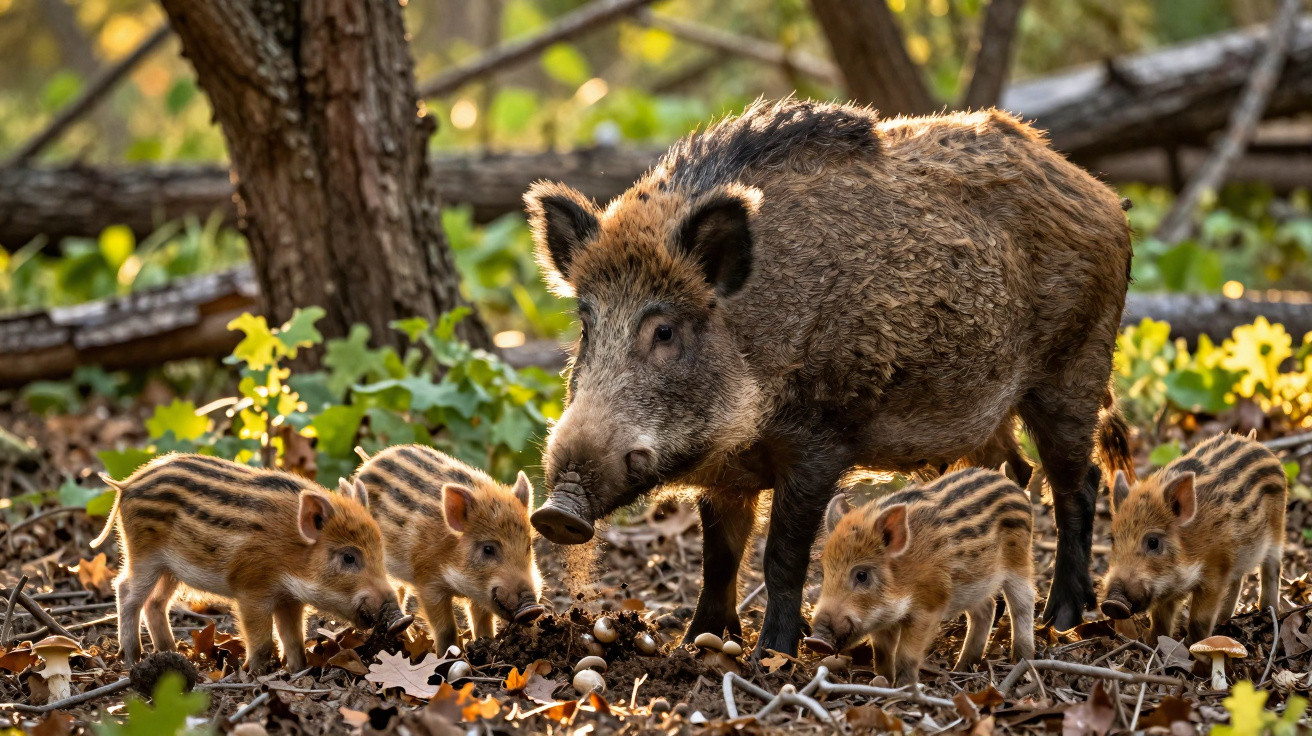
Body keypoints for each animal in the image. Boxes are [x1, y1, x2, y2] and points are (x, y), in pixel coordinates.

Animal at [91, 454, 401, 672]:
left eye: (380, 552)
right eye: (349, 557)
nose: (401, 617)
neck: (291, 554)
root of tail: (127, 484)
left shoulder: (289, 598)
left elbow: (293, 636)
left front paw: (296, 669)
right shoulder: (252, 589)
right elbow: (261, 638)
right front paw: (255, 672)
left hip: (170, 569)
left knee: (156, 602)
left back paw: (172, 653)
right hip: (143, 555)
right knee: (126, 590)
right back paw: (133, 658)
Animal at [350, 445, 542, 652]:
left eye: (528, 546)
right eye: (488, 549)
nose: (533, 608)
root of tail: (369, 460)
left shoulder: (481, 594)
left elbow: (483, 623)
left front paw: (485, 643)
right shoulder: (428, 583)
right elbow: (446, 628)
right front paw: (446, 654)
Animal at [523, 98, 1136, 655]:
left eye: (665, 331)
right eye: (586, 324)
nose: (556, 514)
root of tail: (1105, 196)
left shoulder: (819, 440)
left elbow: (782, 554)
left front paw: (773, 653)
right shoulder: (726, 472)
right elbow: (719, 555)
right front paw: (696, 644)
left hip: (1075, 367)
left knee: (1077, 483)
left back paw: (1064, 619)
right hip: (986, 413)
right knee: (1014, 474)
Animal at [806, 468, 1035, 684]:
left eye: (862, 575)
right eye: (825, 573)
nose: (815, 640)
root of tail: (1011, 484)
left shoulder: (929, 607)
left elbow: (906, 655)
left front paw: (905, 686)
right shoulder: (880, 619)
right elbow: (882, 653)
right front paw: (882, 682)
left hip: (1019, 562)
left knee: (1023, 603)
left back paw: (1023, 663)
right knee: (987, 608)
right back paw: (960, 668)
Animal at [1099, 432, 1286, 643]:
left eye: (1153, 542)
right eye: (1112, 540)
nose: (1112, 603)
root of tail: (1253, 440)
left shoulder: (1215, 573)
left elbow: (1199, 620)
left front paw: (1193, 645)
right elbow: (1160, 619)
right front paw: (1154, 642)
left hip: (1277, 528)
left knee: (1271, 568)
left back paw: (1269, 612)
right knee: (1237, 581)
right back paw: (1224, 621)